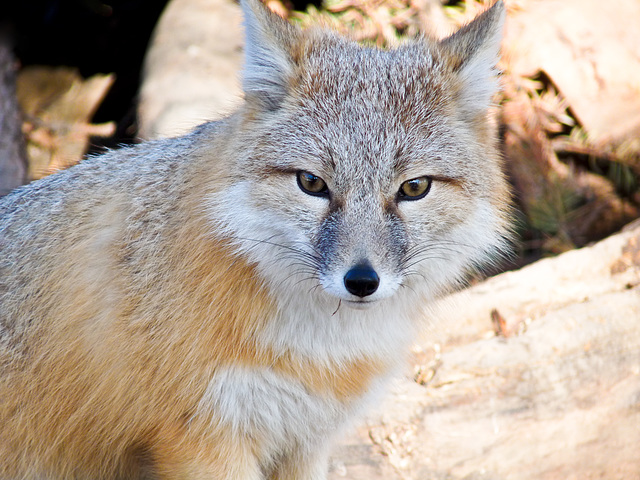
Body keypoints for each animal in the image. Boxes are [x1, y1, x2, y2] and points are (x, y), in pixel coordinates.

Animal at [0, 1, 510, 478]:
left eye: (414, 188)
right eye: (311, 183)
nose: (362, 281)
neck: (317, 350)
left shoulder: (306, 441)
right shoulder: (204, 438)